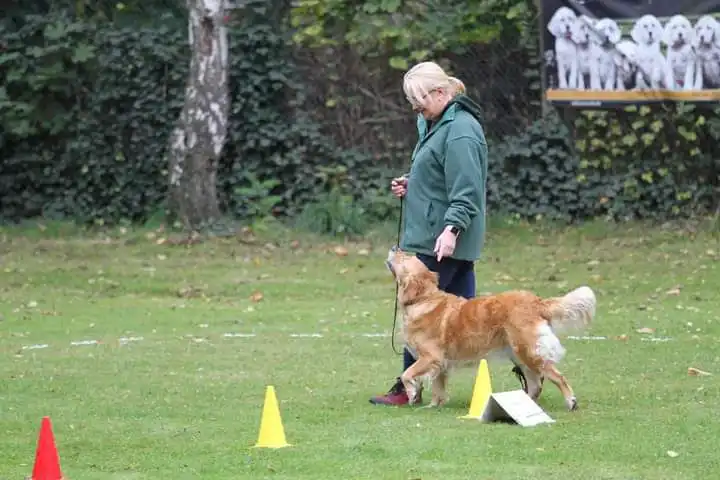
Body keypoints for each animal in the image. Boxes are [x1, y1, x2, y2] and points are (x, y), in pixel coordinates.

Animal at [388, 248, 596, 412]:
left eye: (405, 257)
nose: (394, 247)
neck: (423, 299)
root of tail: (536, 301)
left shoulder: (431, 356)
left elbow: (407, 374)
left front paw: (412, 393)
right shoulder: (440, 363)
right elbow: (438, 387)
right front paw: (433, 405)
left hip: (529, 351)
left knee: (557, 377)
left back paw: (570, 401)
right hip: (520, 355)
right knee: (536, 384)